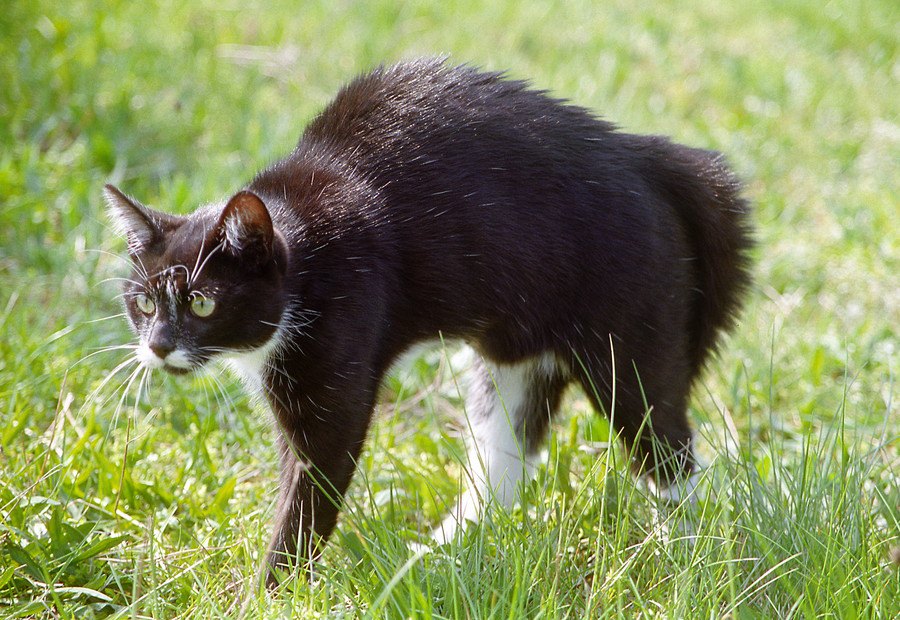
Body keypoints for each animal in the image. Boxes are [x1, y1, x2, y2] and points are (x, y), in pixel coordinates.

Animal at [103, 58, 752, 588]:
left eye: (202, 302)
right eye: (142, 303)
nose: (158, 347)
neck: (307, 249)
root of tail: (653, 158)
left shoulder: (341, 345)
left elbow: (313, 486)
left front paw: (268, 594)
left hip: (629, 338)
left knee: (665, 446)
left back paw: (684, 555)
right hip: (515, 351)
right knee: (506, 456)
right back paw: (436, 554)